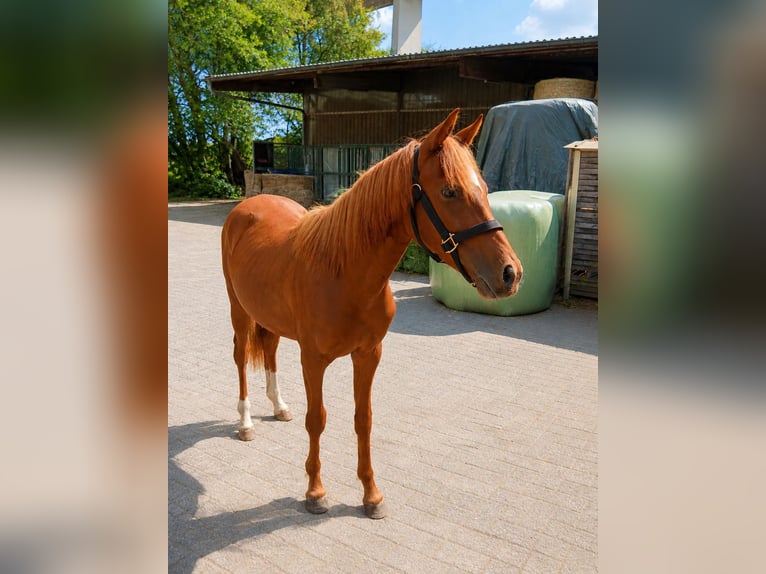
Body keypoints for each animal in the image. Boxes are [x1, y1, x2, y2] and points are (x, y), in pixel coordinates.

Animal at [221, 109, 523, 519]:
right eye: (449, 191)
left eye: (485, 188)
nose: (510, 273)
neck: (345, 274)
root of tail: (247, 207)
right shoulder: (312, 359)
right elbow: (317, 420)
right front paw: (315, 492)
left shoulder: (368, 354)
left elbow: (363, 420)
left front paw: (371, 494)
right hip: (239, 310)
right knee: (240, 358)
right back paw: (246, 421)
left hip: (269, 317)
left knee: (268, 349)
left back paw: (279, 406)